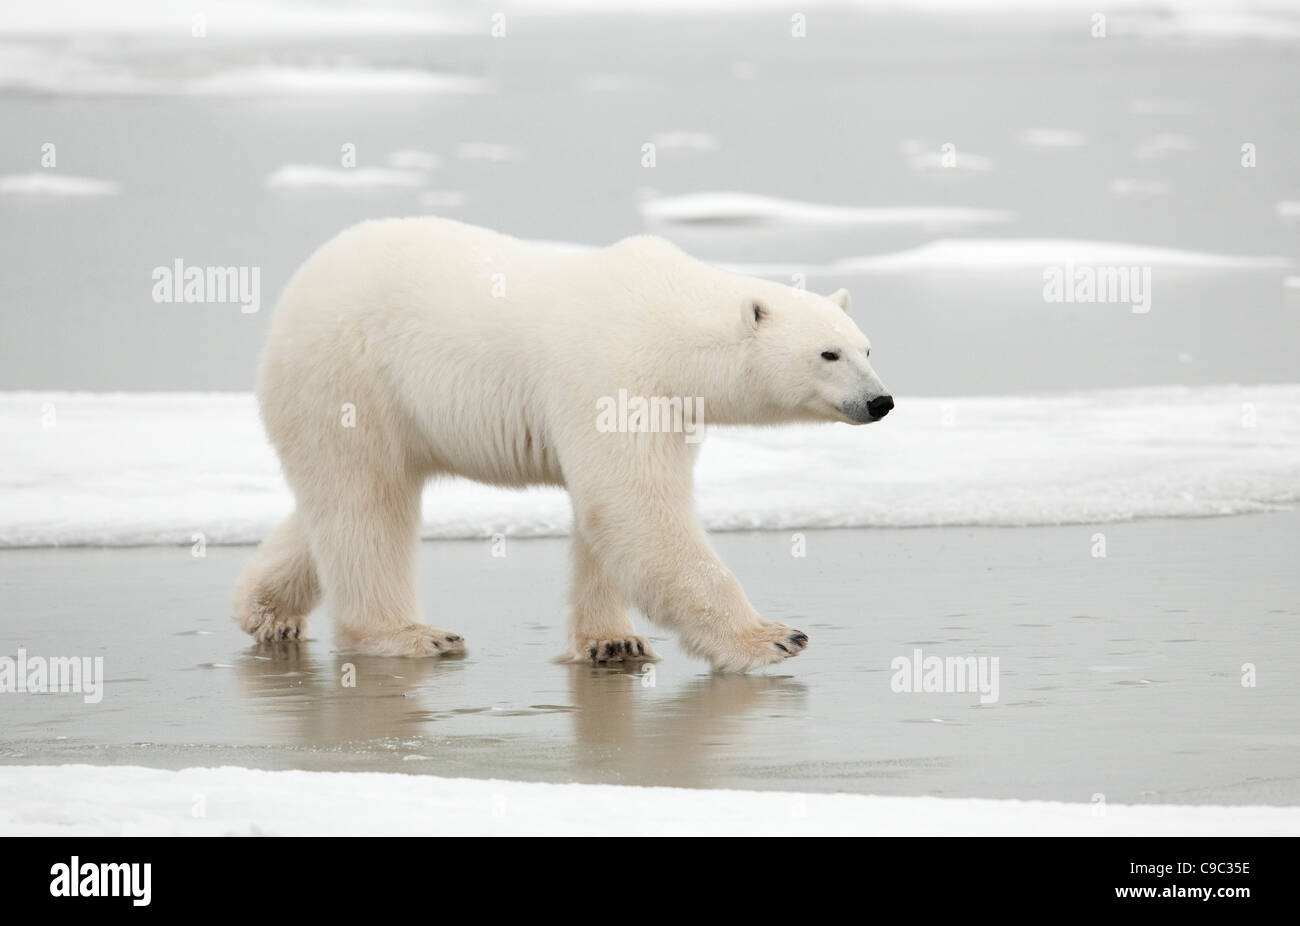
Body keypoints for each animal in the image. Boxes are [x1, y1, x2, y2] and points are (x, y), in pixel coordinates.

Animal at [233, 218, 889, 671]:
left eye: (866, 347)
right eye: (827, 354)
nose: (880, 401)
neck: (665, 325)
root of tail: (301, 286)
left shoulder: (667, 406)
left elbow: (607, 514)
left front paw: (613, 642)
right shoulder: (614, 376)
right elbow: (635, 507)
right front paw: (774, 637)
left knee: (332, 505)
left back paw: (268, 612)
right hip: (349, 377)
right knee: (366, 504)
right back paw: (411, 634)